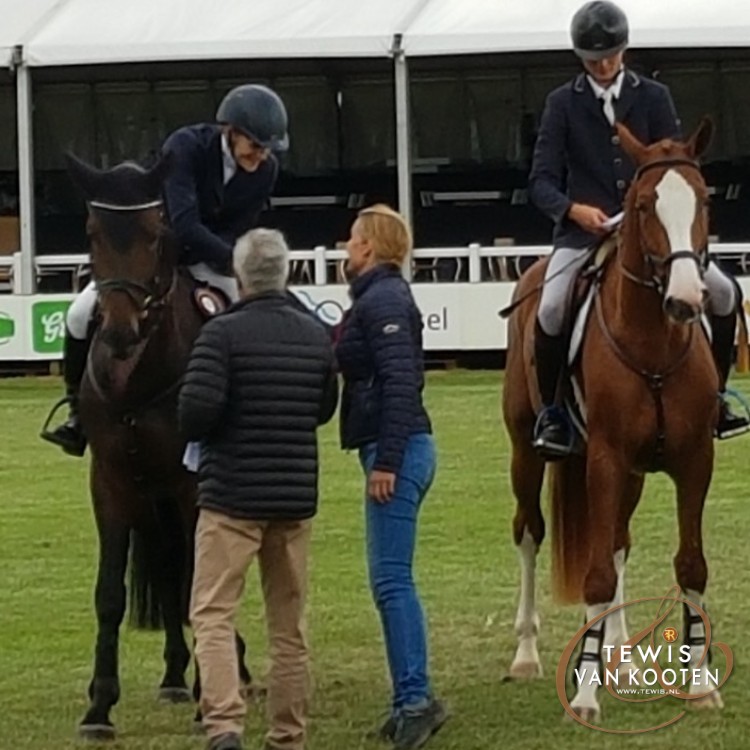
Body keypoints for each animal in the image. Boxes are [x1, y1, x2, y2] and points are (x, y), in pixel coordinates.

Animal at [63, 154, 249, 739]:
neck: (137, 380)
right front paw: (99, 707)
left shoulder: (191, 488)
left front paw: (210, 696)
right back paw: (173, 675)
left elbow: (201, 583)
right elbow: (110, 595)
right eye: (92, 233)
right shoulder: (111, 483)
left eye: (155, 232)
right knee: (168, 576)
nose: (120, 332)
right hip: (152, 500)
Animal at [502, 117, 730, 722]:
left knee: (619, 540)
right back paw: (528, 655)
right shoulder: (604, 459)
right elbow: (597, 572)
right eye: (645, 204)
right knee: (529, 532)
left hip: (630, 473)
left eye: (703, 200)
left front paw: (701, 684)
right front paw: (583, 695)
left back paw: (619, 656)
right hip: (527, 452)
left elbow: (689, 566)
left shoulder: (695, 461)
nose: (686, 299)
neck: (654, 343)